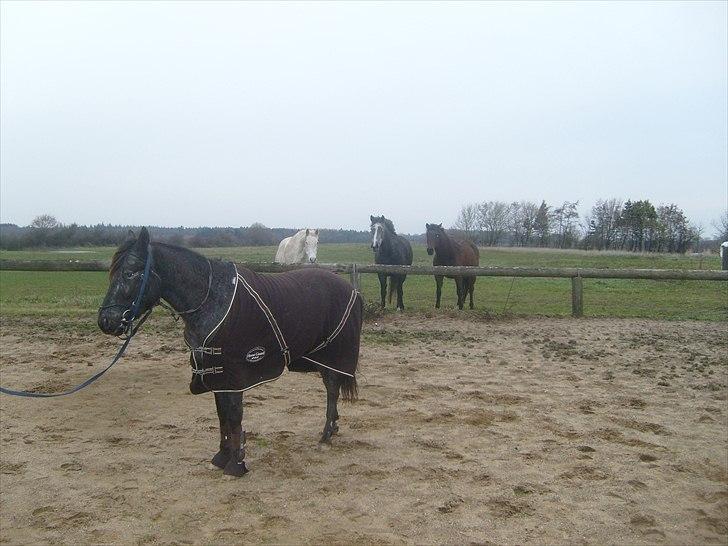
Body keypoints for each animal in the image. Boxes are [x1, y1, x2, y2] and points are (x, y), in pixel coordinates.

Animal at [98, 228, 362, 477]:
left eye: (130, 273)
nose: (106, 321)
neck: (210, 298)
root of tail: (351, 289)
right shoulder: (215, 370)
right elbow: (221, 414)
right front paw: (222, 456)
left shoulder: (234, 373)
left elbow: (234, 416)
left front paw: (236, 464)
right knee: (332, 387)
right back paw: (332, 429)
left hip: (333, 353)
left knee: (332, 388)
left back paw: (326, 435)